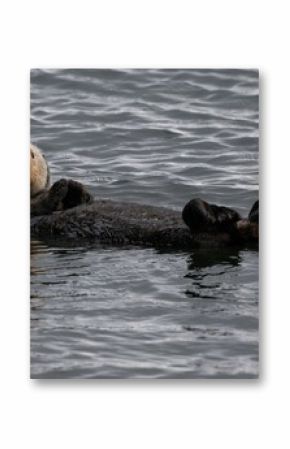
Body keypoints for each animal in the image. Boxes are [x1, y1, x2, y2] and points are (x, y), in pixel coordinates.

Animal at [30, 144, 260, 247]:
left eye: (32, 154)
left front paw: (75, 187)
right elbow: (41, 204)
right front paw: (61, 186)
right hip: (201, 232)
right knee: (199, 216)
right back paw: (222, 214)